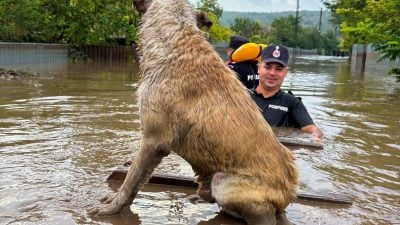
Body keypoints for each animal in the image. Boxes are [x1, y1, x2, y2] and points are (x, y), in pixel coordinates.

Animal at [90, 0, 296, 223]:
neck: (176, 41)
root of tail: (286, 198)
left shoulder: (154, 142)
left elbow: (131, 181)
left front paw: (112, 208)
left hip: (225, 183)